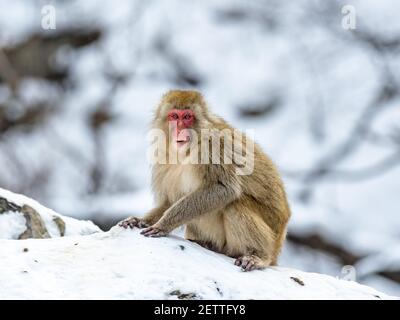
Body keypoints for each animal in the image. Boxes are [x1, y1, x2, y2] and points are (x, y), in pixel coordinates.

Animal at [119, 89, 290, 270]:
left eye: (187, 116)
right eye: (174, 116)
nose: (180, 128)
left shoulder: (213, 146)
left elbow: (223, 189)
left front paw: (163, 224)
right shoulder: (162, 155)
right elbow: (169, 200)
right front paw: (141, 221)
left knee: (235, 204)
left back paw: (258, 256)